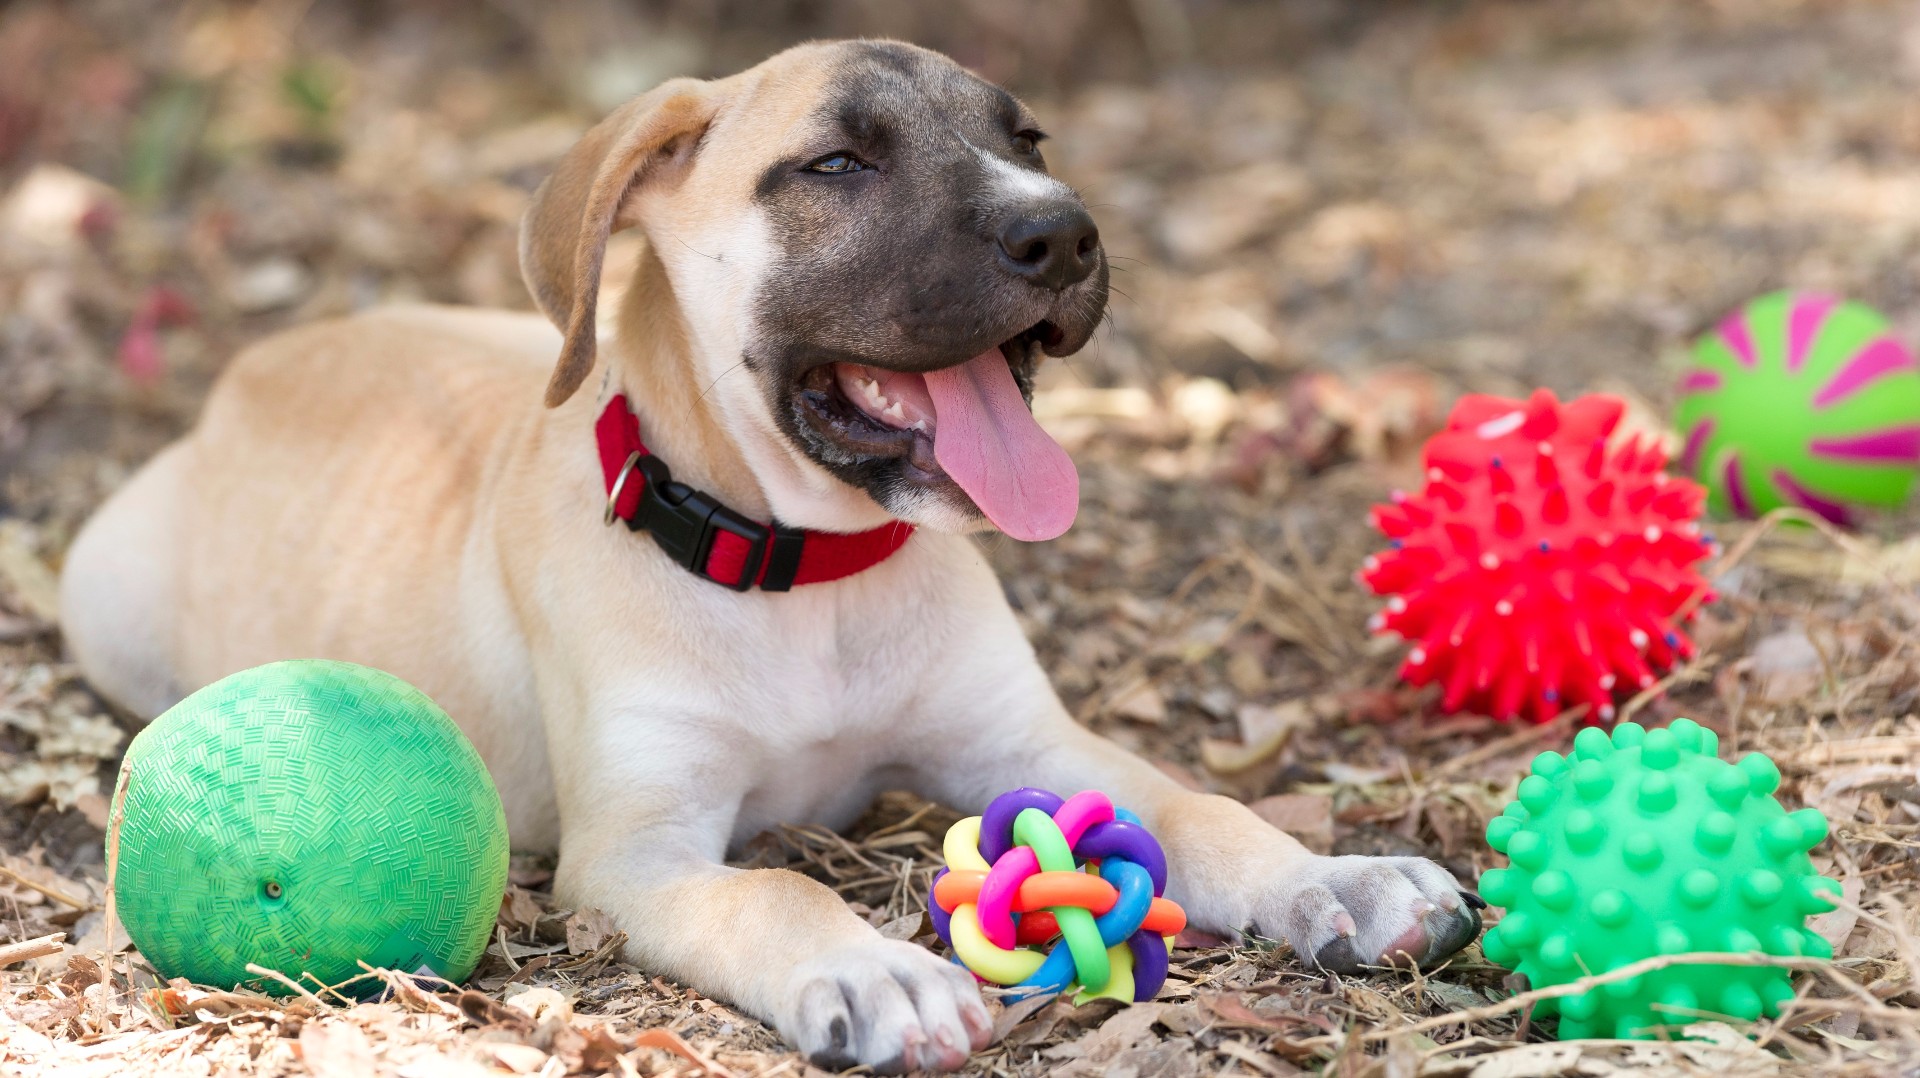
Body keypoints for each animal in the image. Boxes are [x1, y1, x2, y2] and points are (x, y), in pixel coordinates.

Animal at [56, 39, 1466, 1068]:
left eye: (1028, 142)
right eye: (836, 163)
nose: (1064, 233)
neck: (804, 572)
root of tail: (256, 362)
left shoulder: (1030, 740)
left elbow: (1193, 805)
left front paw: (1333, 876)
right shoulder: (636, 854)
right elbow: (772, 892)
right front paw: (877, 966)